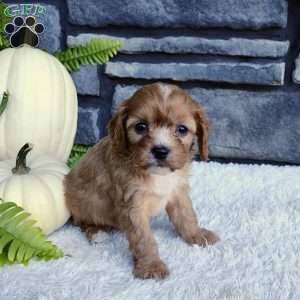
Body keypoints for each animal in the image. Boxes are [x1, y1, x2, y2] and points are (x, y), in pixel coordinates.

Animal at [64, 82, 219, 278]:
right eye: (140, 127)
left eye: (182, 129)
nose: (160, 151)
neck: (158, 175)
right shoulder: (132, 204)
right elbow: (143, 238)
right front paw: (151, 265)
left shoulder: (177, 190)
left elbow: (186, 215)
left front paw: (196, 235)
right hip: (85, 204)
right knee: (82, 221)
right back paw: (98, 233)